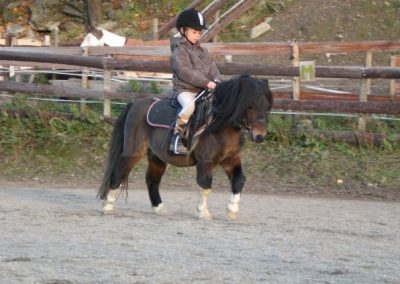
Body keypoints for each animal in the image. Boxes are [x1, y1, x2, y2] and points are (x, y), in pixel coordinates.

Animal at [97, 74, 272, 219]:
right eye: (250, 105)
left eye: (266, 106)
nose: (260, 135)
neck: (219, 124)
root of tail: (134, 104)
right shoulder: (206, 162)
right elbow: (205, 185)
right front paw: (203, 212)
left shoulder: (231, 159)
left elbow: (239, 180)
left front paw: (232, 210)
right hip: (133, 152)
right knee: (118, 173)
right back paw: (108, 206)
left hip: (157, 157)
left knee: (152, 180)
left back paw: (159, 208)